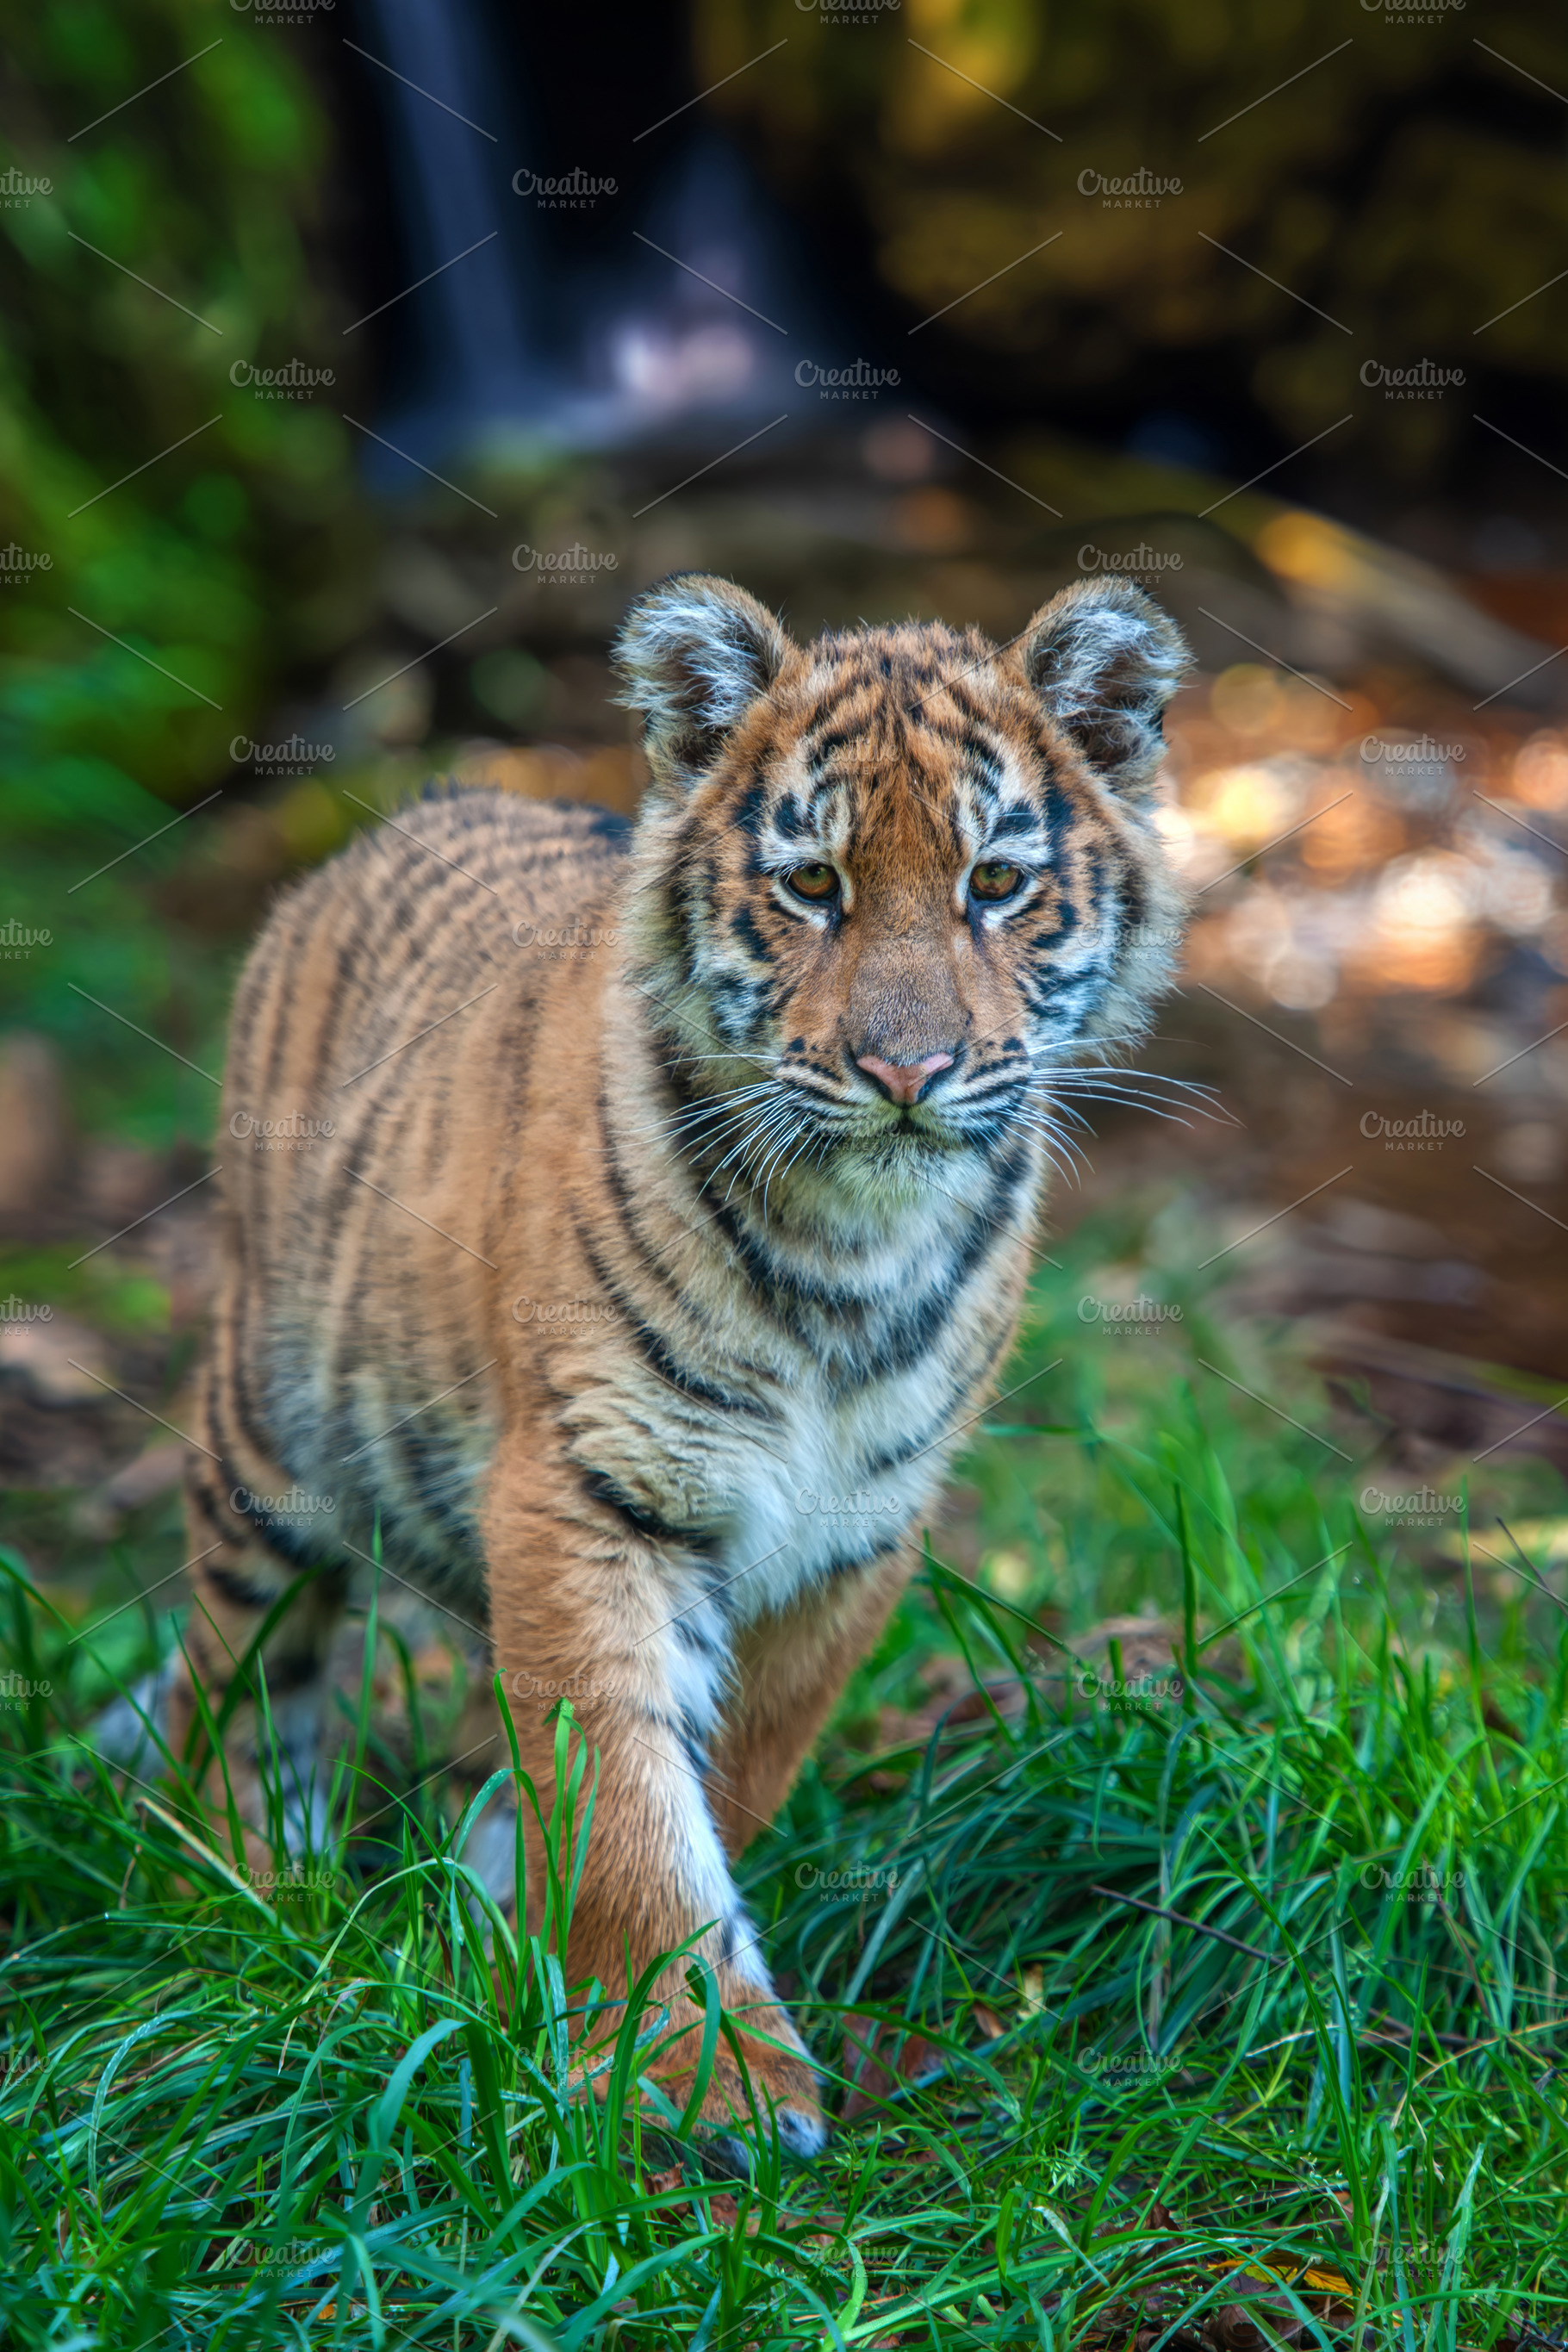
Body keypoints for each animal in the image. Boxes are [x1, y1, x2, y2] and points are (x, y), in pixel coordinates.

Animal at [172, 570, 1192, 2156]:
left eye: (996, 884)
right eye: (815, 885)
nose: (907, 1073)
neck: (857, 1243)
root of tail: (423, 805)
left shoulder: (856, 1530)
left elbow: (716, 1771)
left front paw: (554, 1976)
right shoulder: (591, 1489)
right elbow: (629, 1797)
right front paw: (696, 2073)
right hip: (268, 1439)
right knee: (231, 1684)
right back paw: (244, 1899)